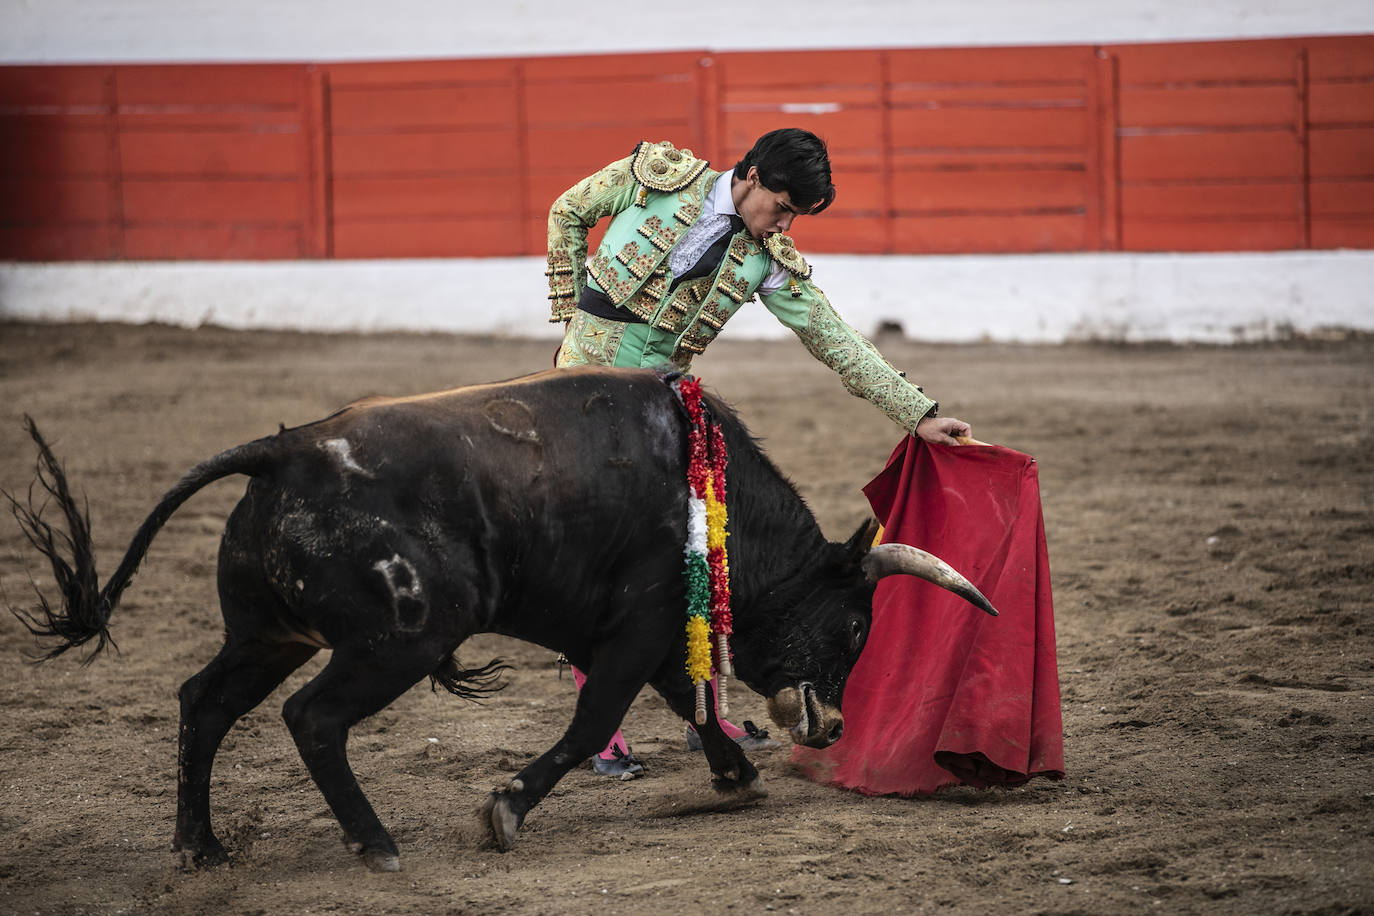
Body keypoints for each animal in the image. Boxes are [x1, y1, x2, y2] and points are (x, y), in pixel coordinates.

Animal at [5, 365, 994, 867]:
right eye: (855, 628)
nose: (834, 728)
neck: (708, 499)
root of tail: (282, 453)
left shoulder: (629, 633)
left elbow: (692, 704)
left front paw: (735, 775)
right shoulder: (636, 627)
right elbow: (598, 717)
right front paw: (506, 809)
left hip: (268, 634)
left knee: (203, 702)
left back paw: (201, 846)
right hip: (401, 638)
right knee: (311, 717)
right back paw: (375, 842)